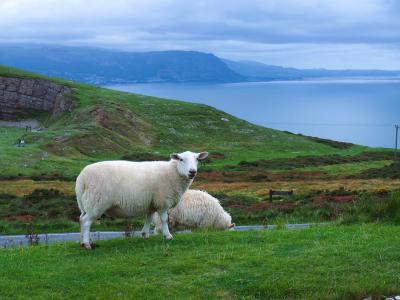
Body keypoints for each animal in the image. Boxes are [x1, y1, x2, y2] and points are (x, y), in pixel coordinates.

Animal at [74, 151, 208, 250]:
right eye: (181, 159)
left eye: (197, 159)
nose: (192, 172)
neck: (172, 172)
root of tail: (82, 178)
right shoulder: (163, 201)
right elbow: (164, 220)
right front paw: (168, 236)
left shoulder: (151, 203)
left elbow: (148, 218)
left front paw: (145, 235)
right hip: (96, 202)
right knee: (86, 222)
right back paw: (87, 244)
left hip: (84, 204)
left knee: (81, 219)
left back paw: (81, 242)